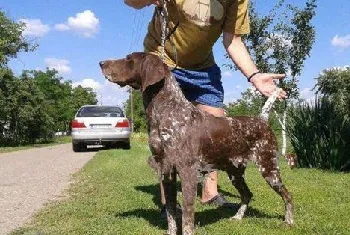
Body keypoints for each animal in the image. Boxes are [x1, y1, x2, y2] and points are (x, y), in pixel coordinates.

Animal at [100, 52, 294, 235]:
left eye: (129, 59)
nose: (101, 63)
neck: (167, 112)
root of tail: (262, 120)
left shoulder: (188, 172)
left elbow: (187, 216)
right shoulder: (167, 172)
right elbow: (171, 212)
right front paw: (171, 231)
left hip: (269, 168)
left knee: (287, 195)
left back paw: (289, 221)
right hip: (235, 172)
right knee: (247, 194)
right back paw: (238, 217)